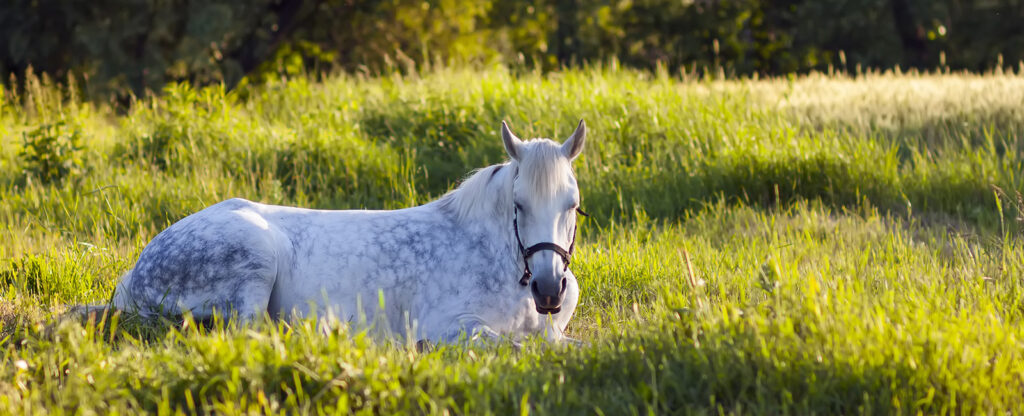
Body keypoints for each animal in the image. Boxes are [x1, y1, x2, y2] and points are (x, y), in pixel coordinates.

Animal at [102, 120, 589, 344]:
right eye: (519, 205)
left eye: (573, 205)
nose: (549, 290)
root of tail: (134, 275)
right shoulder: (451, 328)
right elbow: (517, 346)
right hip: (255, 255)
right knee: (251, 331)